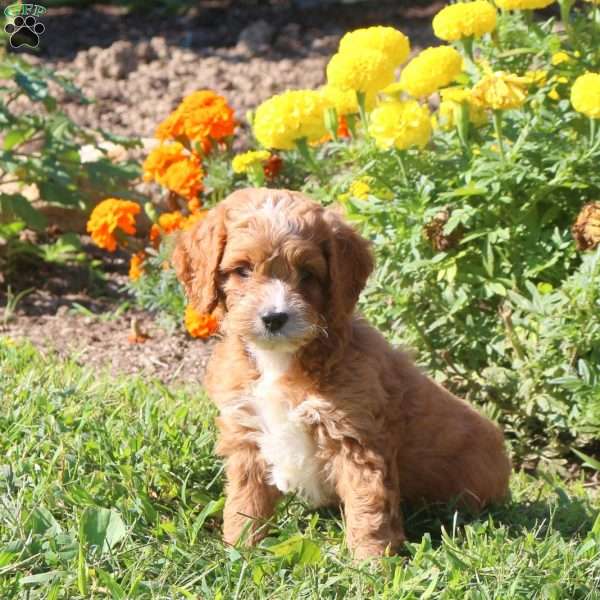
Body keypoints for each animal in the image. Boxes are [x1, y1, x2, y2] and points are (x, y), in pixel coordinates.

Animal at [173, 186, 510, 556]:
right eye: (242, 270)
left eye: (307, 273)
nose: (274, 318)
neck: (279, 360)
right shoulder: (247, 431)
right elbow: (246, 499)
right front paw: (240, 548)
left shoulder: (356, 440)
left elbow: (368, 507)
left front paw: (371, 561)